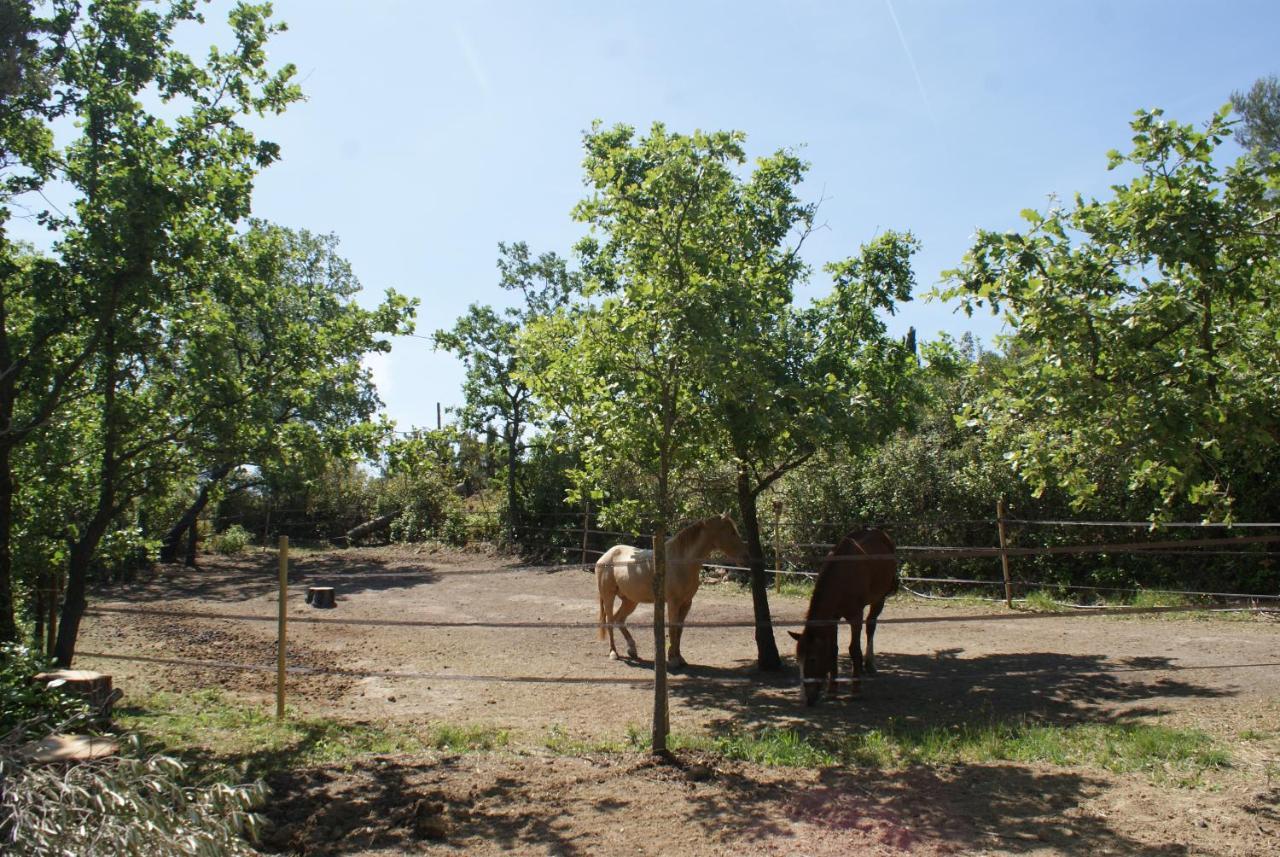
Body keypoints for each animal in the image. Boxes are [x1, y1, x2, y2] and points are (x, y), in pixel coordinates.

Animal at [599, 514, 747, 675]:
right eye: (732, 532)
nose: (745, 557)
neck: (681, 562)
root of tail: (606, 556)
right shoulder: (673, 603)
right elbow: (673, 629)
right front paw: (673, 660)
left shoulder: (686, 603)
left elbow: (679, 630)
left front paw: (679, 658)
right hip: (609, 596)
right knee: (610, 621)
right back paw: (613, 653)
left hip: (630, 600)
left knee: (619, 619)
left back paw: (632, 650)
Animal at [783, 529, 896, 706]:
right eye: (797, 659)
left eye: (813, 659)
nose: (806, 698)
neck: (842, 576)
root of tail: (881, 534)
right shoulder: (833, 619)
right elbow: (833, 650)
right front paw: (832, 691)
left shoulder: (856, 617)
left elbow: (854, 650)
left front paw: (856, 690)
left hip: (879, 599)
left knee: (871, 627)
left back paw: (870, 664)